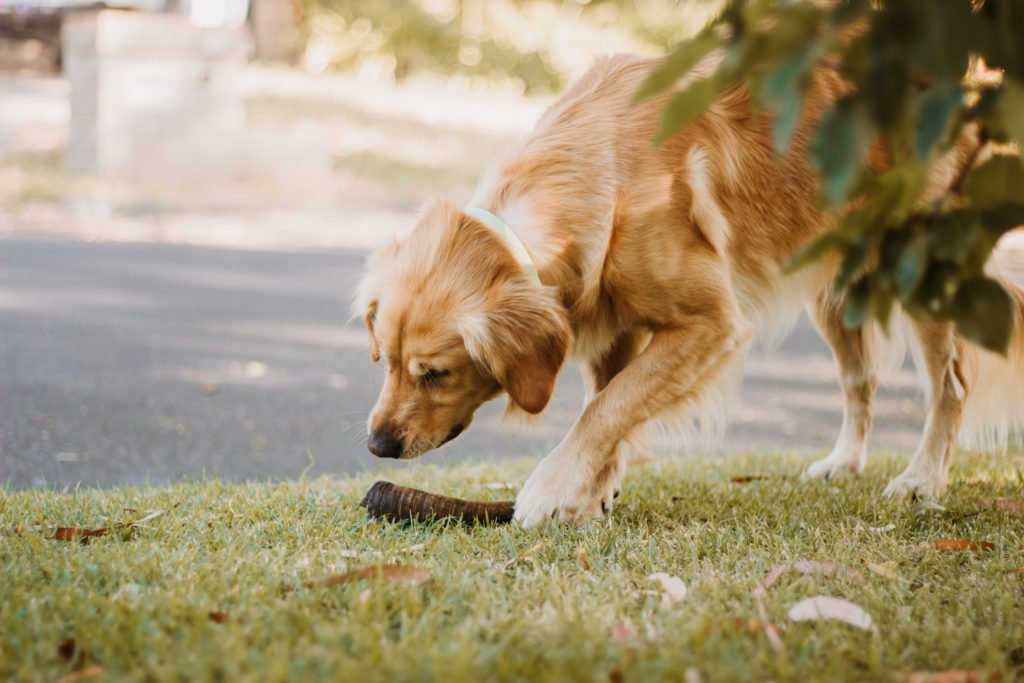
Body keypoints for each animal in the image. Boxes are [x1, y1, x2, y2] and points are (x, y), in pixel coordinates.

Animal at [358, 52, 1024, 528]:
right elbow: (612, 402)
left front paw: (550, 490)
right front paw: (592, 493)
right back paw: (845, 462)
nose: (377, 445)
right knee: (862, 379)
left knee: (951, 387)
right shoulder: (613, 325)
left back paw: (922, 480)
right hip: (825, 279)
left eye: (435, 373)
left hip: (921, 264)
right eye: (384, 361)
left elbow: (608, 407)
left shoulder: (713, 323)